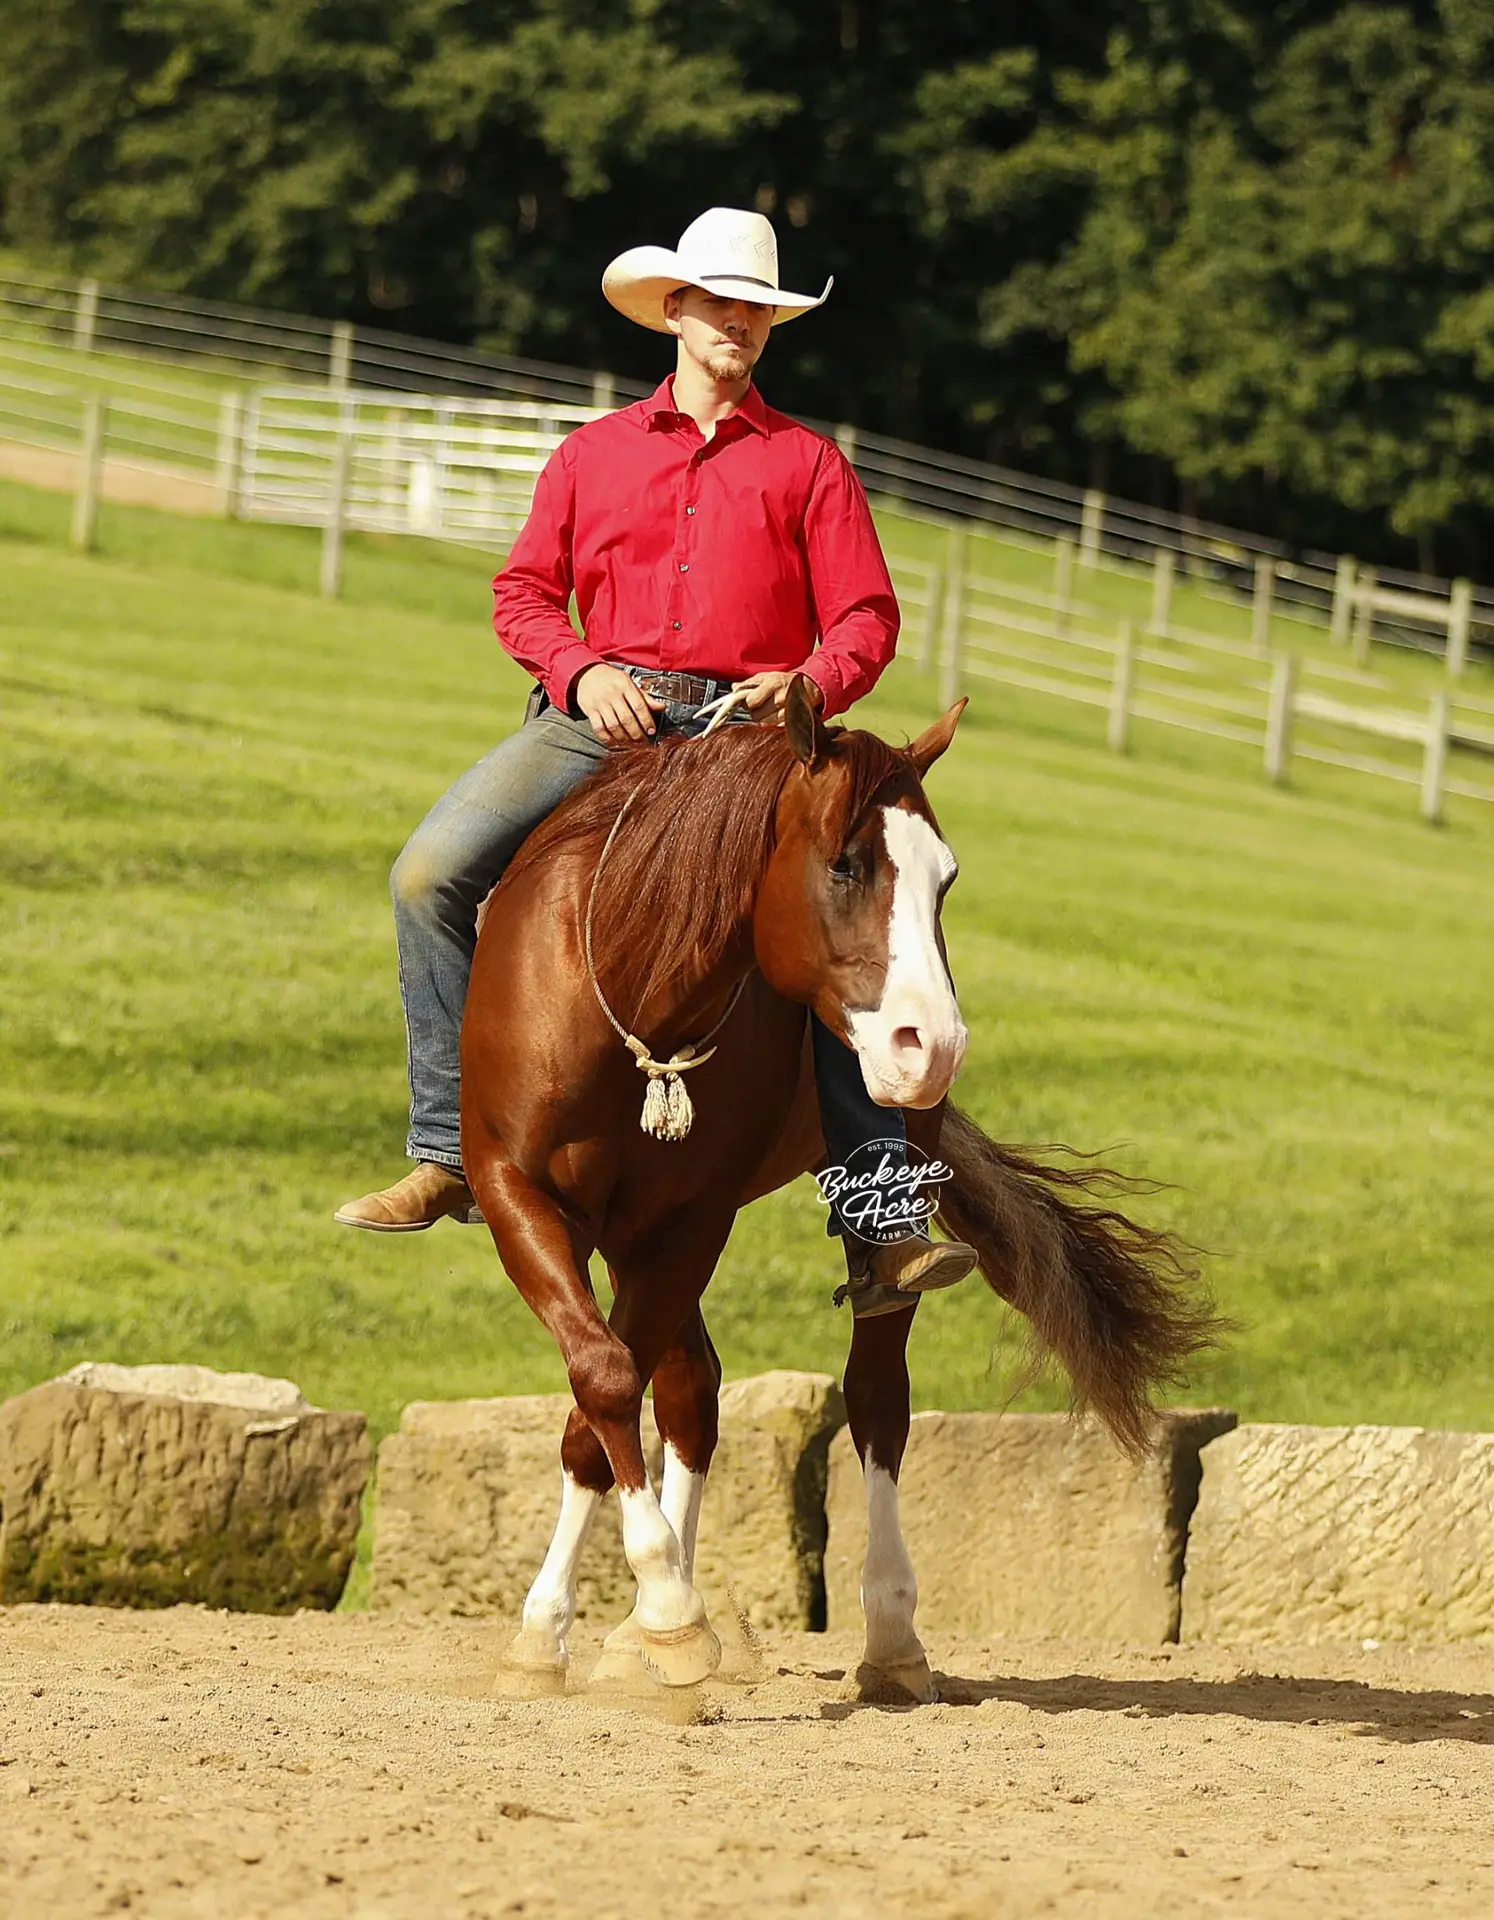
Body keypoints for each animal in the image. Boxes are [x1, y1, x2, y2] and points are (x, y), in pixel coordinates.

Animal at [459, 676, 1216, 1701]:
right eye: (846, 865)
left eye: (945, 880)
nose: (933, 1044)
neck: (629, 974)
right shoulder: (520, 1192)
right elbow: (605, 1380)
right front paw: (587, 1628)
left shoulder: (688, 1223)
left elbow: (600, 1402)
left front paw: (655, 1614)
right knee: (691, 1391)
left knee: (873, 1396)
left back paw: (889, 1637)